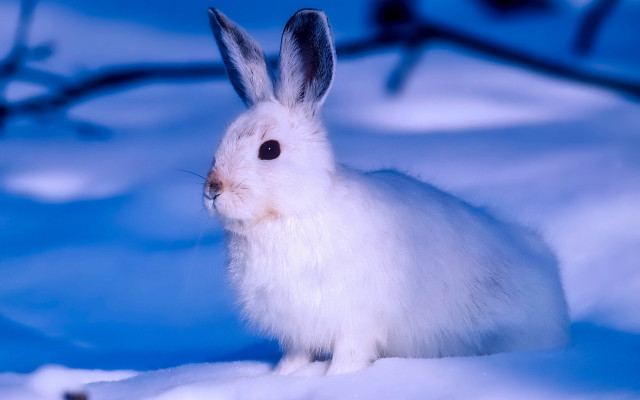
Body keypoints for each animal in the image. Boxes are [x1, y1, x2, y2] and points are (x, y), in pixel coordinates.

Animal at [204, 8, 570, 375]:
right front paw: (282, 376)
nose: (213, 190)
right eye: (221, 142)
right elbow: (296, 355)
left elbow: (349, 356)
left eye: (270, 150)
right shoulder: (297, 333)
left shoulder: (354, 324)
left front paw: (333, 378)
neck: (295, 211)